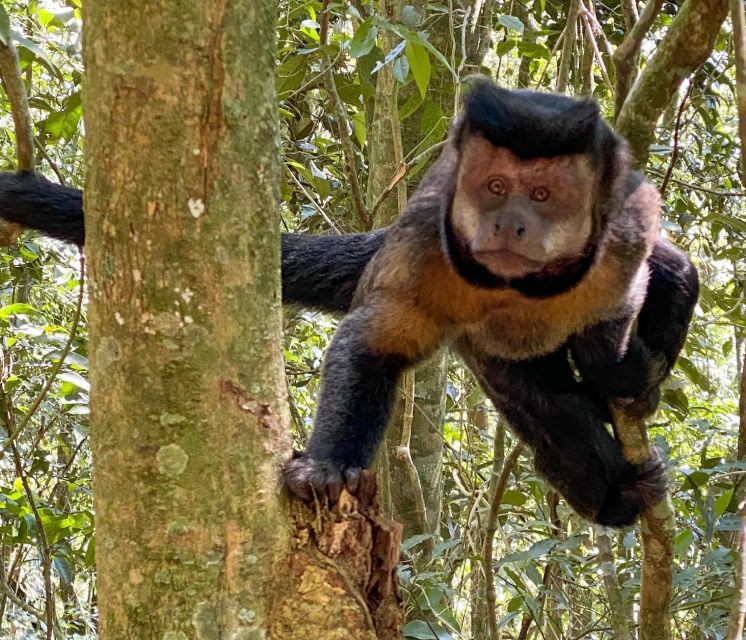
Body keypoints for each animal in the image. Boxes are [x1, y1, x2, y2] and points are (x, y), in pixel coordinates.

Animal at [0, 79, 696, 524]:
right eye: (495, 188)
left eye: (545, 195)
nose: (510, 223)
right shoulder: (424, 252)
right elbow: (373, 346)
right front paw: (327, 468)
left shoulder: (620, 226)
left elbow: (644, 266)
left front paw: (620, 365)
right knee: (543, 404)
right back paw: (617, 496)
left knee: (675, 271)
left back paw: (635, 385)